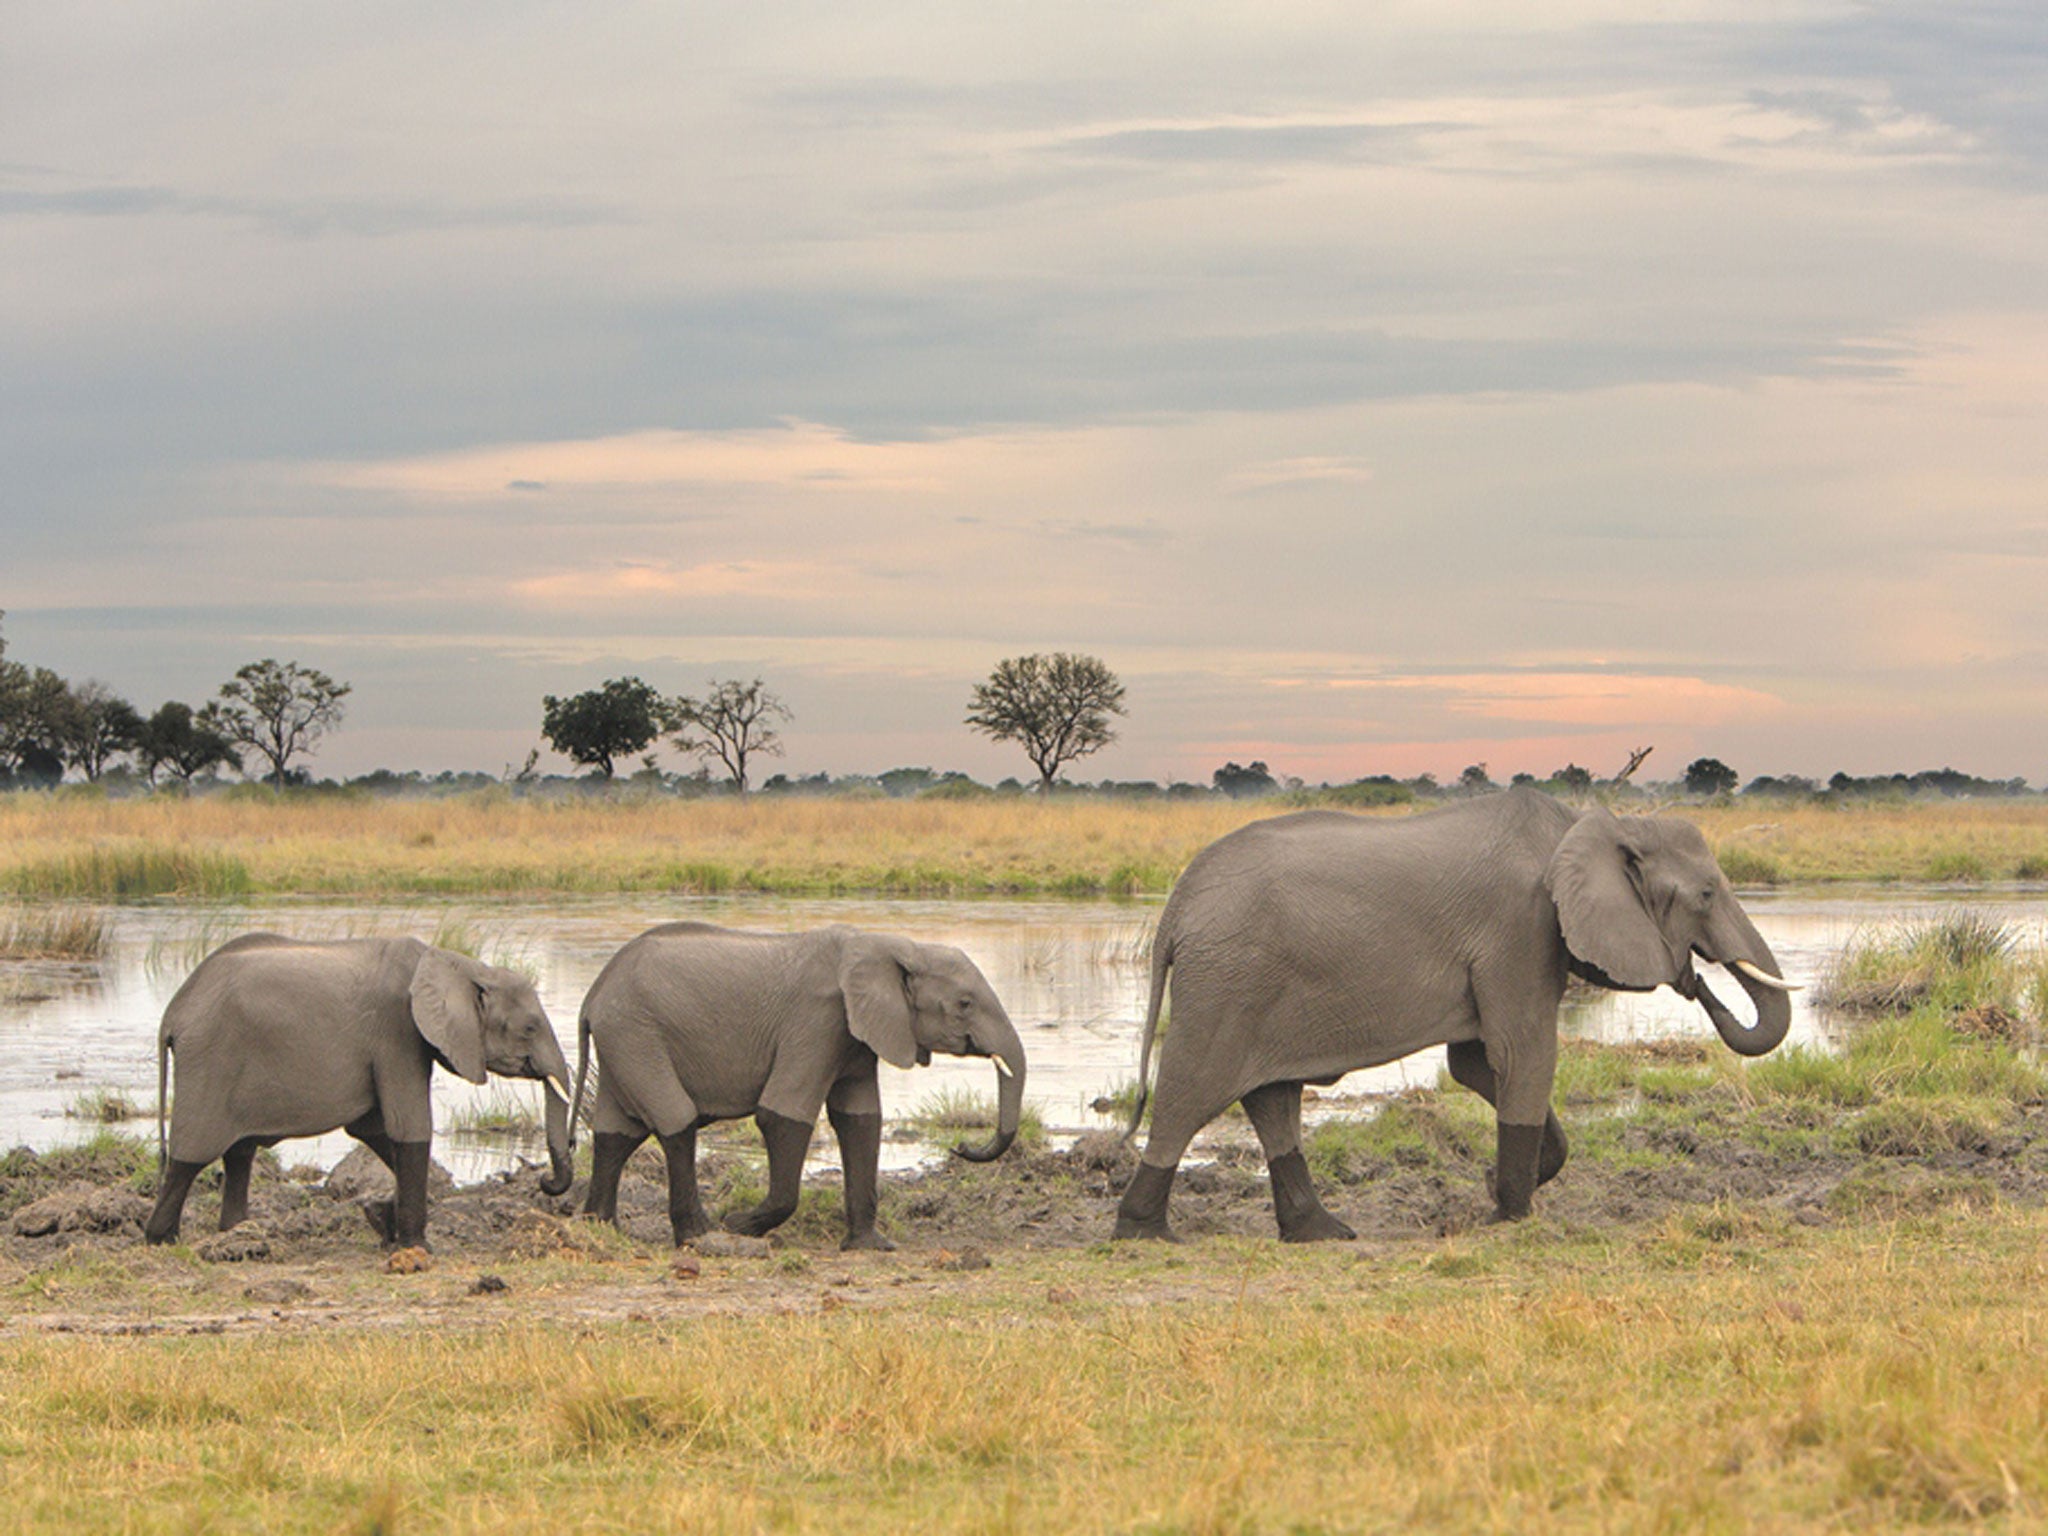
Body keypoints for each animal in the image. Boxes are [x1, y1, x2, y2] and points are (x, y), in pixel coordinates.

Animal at [148, 937, 573, 1253]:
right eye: (530, 1028)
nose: (544, 1181)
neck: (461, 965)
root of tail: (172, 1014)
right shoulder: (397, 1032)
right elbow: (409, 1127)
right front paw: (416, 1248)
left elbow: (374, 1131)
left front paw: (384, 1221)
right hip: (211, 1060)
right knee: (190, 1155)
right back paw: (162, 1239)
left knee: (240, 1153)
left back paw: (236, 1233)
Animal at [573, 925, 1024, 1253]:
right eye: (965, 1004)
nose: (961, 1146)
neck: (892, 943)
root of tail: (593, 995)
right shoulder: (817, 1020)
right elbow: (781, 1113)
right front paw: (738, 1224)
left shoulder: (856, 1036)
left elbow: (860, 1120)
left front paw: (870, 1246)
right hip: (635, 1033)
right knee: (674, 1117)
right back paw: (703, 1236)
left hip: (624, 1041)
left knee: (616, 1131)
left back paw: (601, 1228)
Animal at [1114, 786, 1802, 1245]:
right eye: (1706, 894)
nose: (1697, 980)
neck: (1588, 824)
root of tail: (1175, 908)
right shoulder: (1520, 926)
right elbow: (1524, 1053)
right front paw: (1513, 1216)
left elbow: (1476, 1064)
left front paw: (1499, 1190)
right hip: (1228, 978)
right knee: (1191, 1090)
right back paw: (1144, 1232)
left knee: (1271, 1097)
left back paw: (1323, 1233)